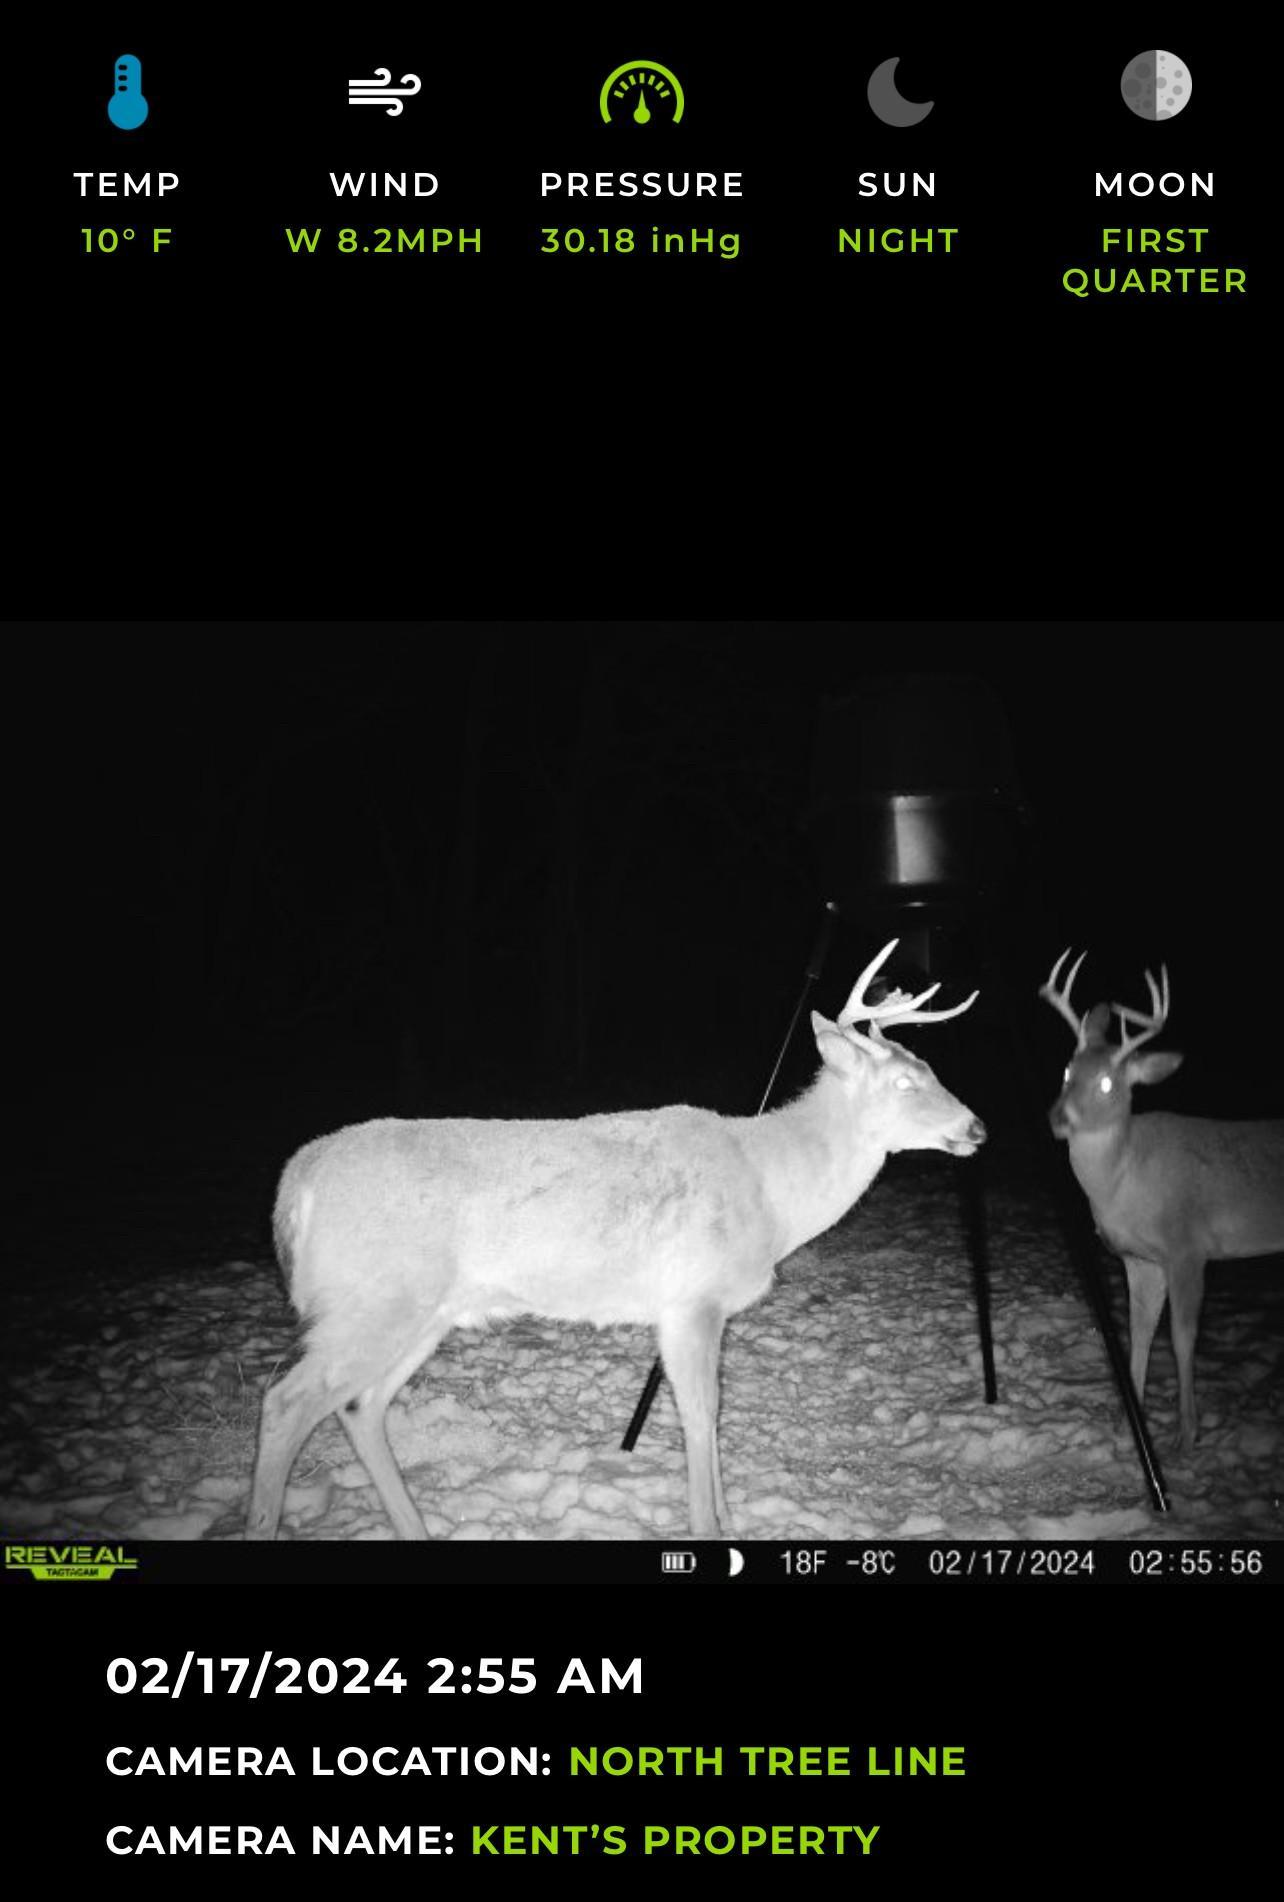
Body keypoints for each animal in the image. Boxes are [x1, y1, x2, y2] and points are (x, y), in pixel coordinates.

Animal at [247, 939, 985, 1541]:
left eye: (931, 1068)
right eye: (904, 1081)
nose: (976, 1128)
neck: (771, 1188)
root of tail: (295, 1184)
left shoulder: (692, 1310)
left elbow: (709, 1411)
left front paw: (724, 1519)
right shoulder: (691, 1300)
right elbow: (700, 1413)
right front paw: (708, 1527)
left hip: (423, 1312)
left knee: (359, 1406)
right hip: (372, 1301)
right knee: (287, 1401)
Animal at [1041, 949, 1284, 1453]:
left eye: (1109, 1085)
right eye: (1068, 1070)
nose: (1058, 1117)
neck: (1125, 1180)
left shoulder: (1188, 1247)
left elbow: (1182, 1336)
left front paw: (1187, 1431)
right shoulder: (1139, 1258)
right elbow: (1139, 1332)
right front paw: (1128, 1423)